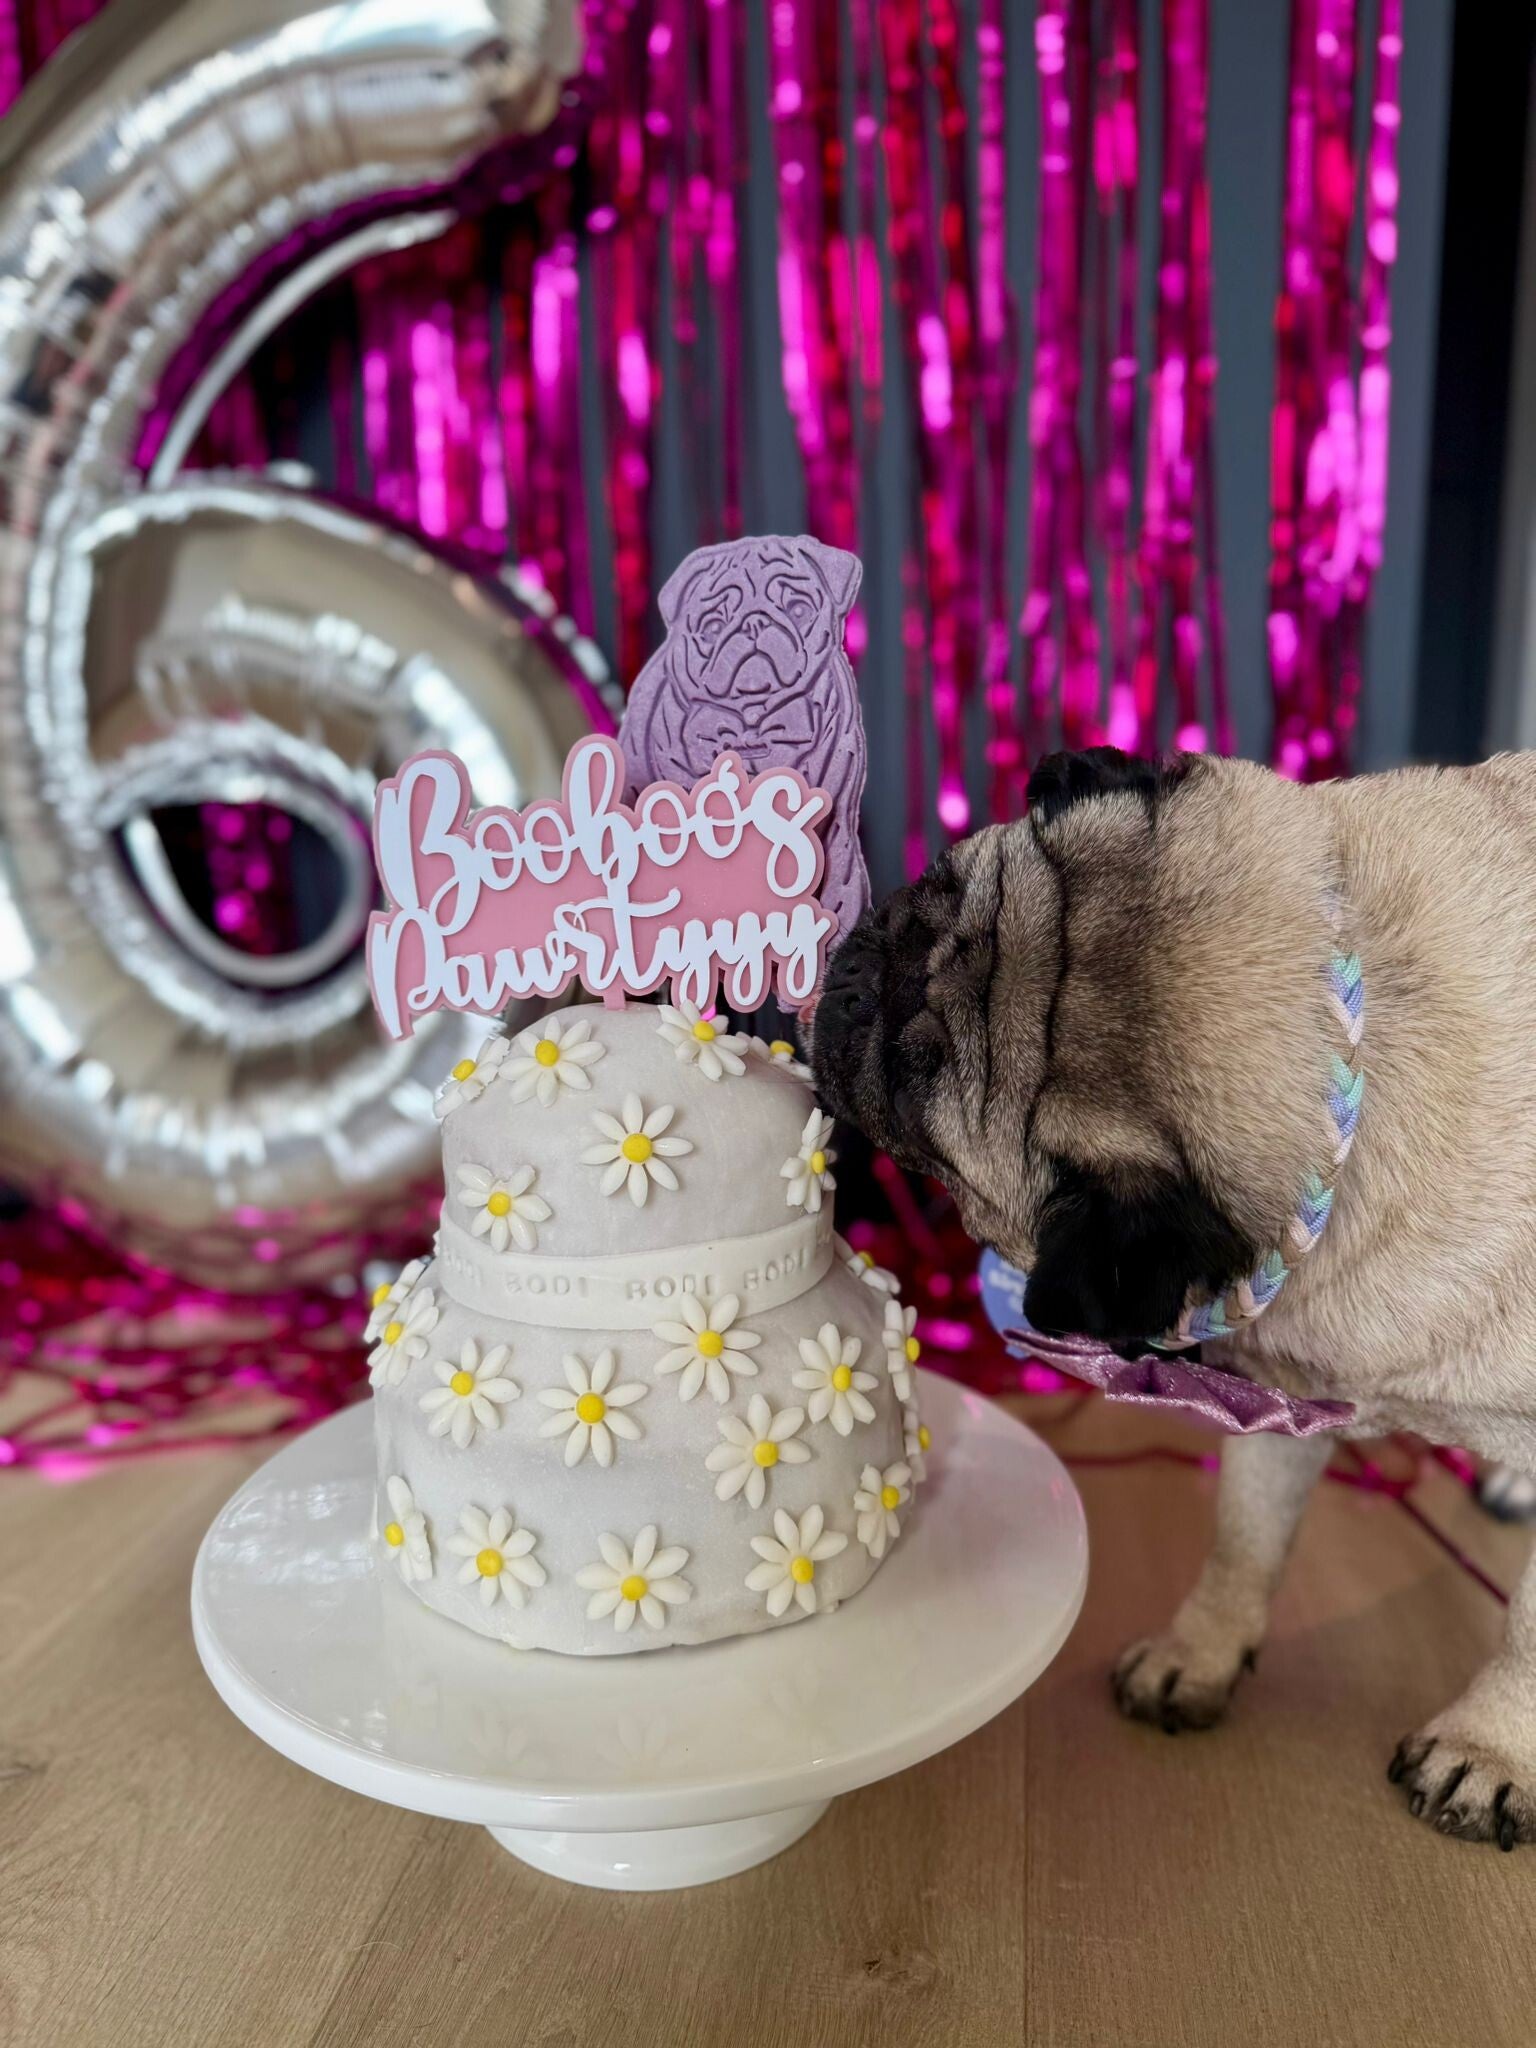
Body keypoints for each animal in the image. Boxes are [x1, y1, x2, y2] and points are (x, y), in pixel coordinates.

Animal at [622, 533, 870, 943]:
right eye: (713, 626)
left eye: (798, 609)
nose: (754, 622)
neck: (752, 721)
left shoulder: (837, 831)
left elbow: (838, 894)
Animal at [813, 743, 1536, 1849]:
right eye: (927, 888)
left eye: (916, 1075)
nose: (855, 982)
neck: (1362, 1052)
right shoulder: (1285, 1394)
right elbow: (1244, 1536)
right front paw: (1199, 1653)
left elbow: (1529, 1630)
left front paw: (1488, 1747)